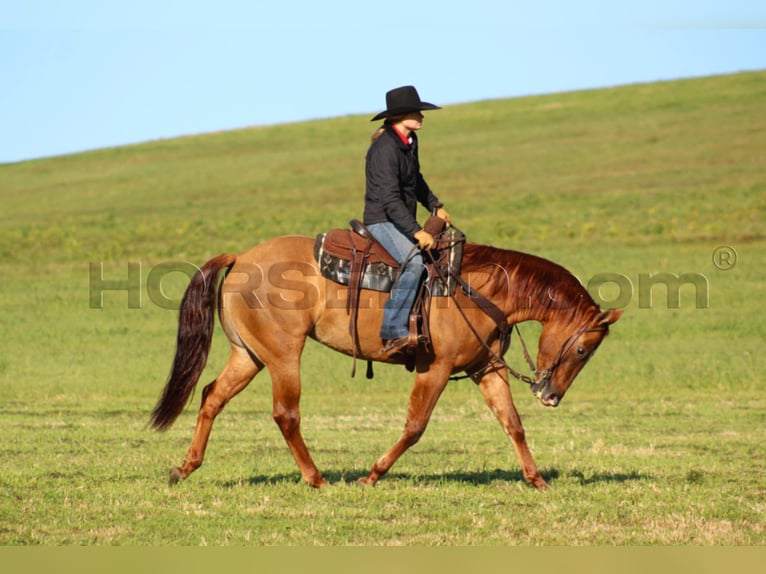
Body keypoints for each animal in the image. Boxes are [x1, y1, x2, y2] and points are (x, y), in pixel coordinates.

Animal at [148, 234, 624, 490]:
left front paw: (537, 480)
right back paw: (316, 478)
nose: (551, 396)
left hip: (248, 356)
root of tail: (241, 257)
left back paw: (184, 468)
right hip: (284, 356)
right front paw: (372, 475)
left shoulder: (485, 370)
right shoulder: (436, 369)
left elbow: (513, 424)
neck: (480, 290)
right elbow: (415, 427)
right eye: (583, 350)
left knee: (212, 397)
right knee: (286, 414)